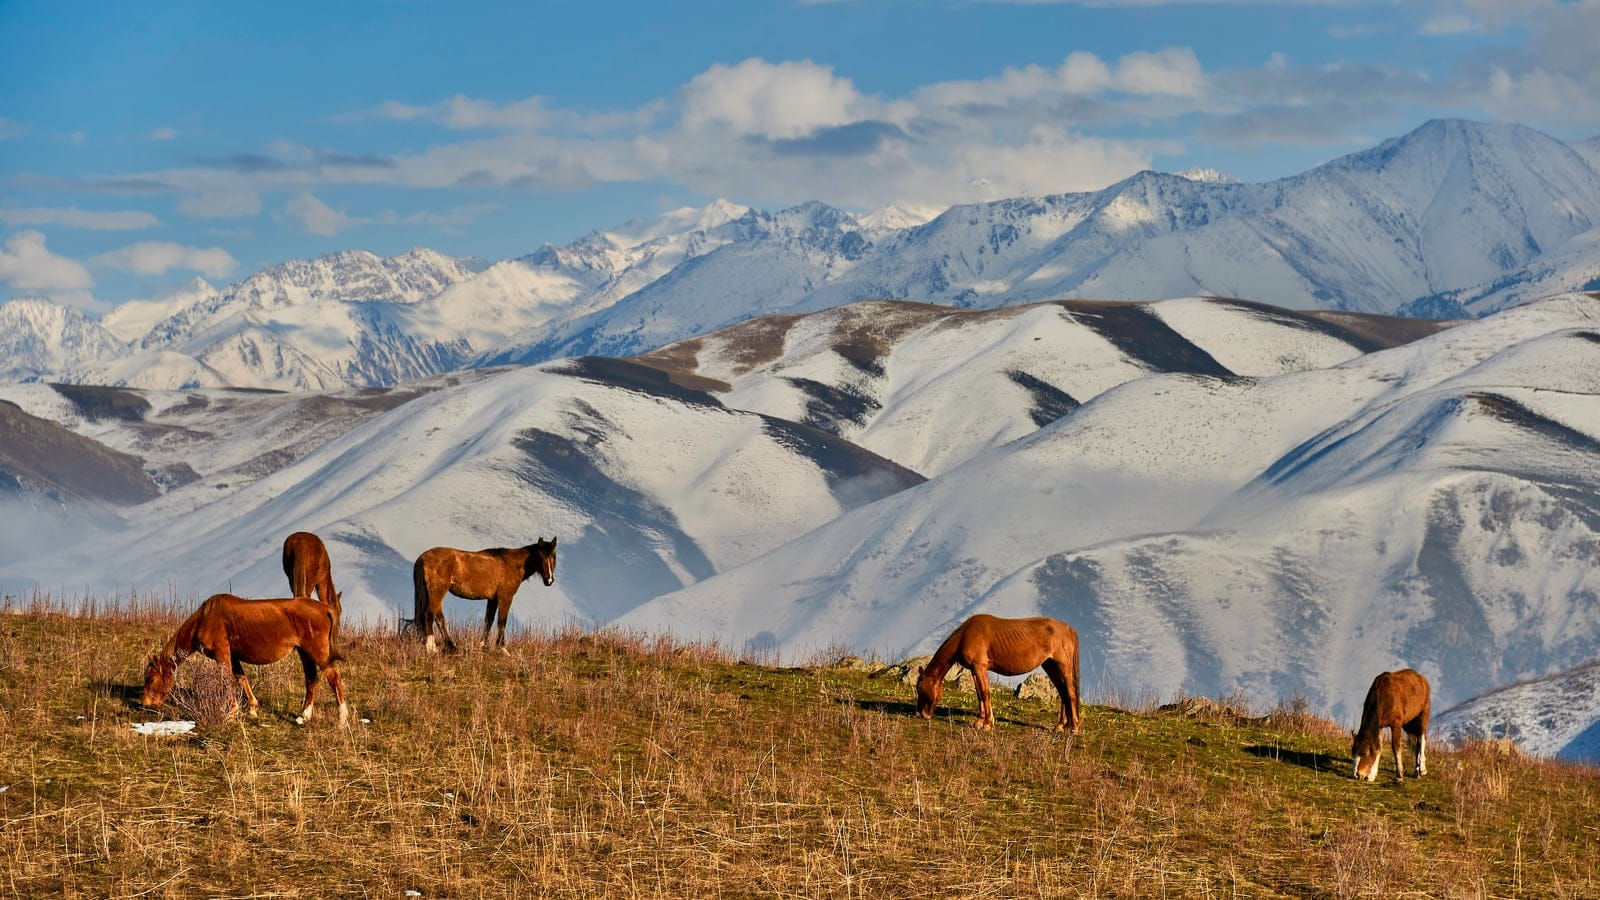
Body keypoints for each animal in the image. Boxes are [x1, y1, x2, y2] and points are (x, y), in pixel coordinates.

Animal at [141, 593, 348, 726]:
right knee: (311, 680)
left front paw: (231, 713)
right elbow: (241, 678)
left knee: (334, 679)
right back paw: (303, 716)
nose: (145, 704)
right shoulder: (233, 656)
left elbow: (227, 681)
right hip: (304, 652)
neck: (204, 619)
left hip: (318, 653)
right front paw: (252, 709)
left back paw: (341, 720)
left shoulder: (222, 653)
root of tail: (325, 608)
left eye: (151, 679)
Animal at [409, 537, 558, 653]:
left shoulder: (493, 599)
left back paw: (451, 646)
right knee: (429, 615)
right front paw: (502, 648)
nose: (549, 580)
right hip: (437, 592)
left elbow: (488, 621)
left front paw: (483, 647)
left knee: (439, 618)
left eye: (554, 557)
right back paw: (431, 648)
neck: (511, 564)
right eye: (540, 556)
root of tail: (423, 558)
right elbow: (502, 621)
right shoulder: (505, 597)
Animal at [916, 613, 1081, 732]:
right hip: (1050, 666)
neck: (965, 635)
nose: (920, 714)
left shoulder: (980, 667)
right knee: (1063, 693)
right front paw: (980, 722)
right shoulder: (974, 670)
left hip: (1063, 667)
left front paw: (988, 724)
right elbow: (979, 694)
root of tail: (1067, 628)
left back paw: (1073, 727)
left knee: (1070, 693)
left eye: (919, 688)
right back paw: (1060, 726)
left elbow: (985, 693)